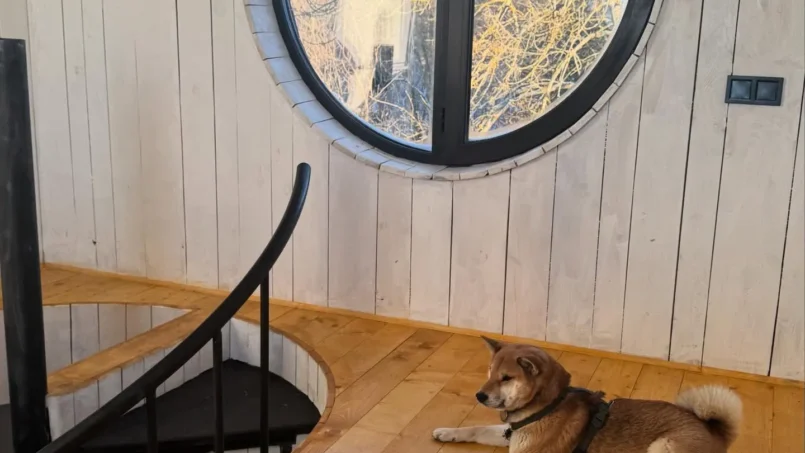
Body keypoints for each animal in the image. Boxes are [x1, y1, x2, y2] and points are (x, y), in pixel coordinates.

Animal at [432, 337, 742, 453]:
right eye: (489, 372)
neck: (547, 405)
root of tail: (715, 433)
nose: (479, 396)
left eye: (506, 378)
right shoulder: (511, 434)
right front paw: (447, 432)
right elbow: (475, 428)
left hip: (663, 447)